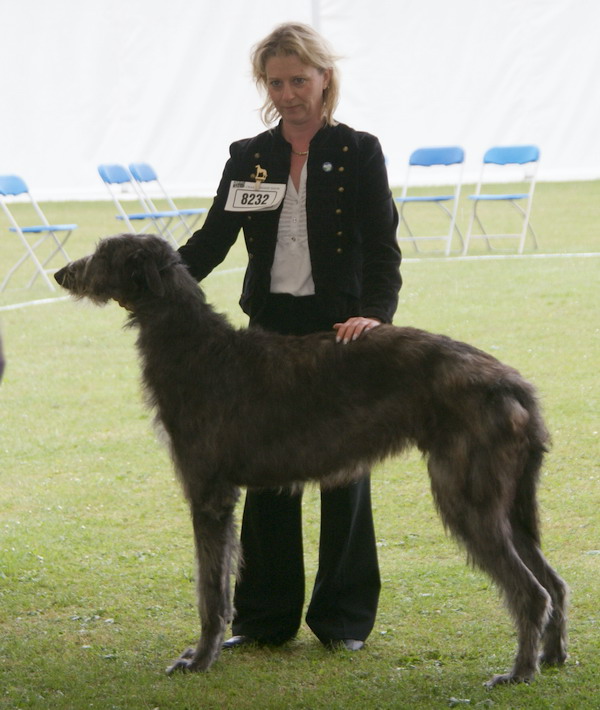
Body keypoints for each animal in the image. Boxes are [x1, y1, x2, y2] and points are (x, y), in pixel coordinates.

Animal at [55, 235, 568, 688]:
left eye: (103, 254)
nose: (61, 273)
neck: (196, 346)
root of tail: (513, 382)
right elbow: (222, 582)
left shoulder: (209, 494)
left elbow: (210, 591)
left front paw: (200, 659)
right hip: (508, 500)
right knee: (554, 582)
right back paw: (553, 657)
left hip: (466, 492)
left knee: (531, 591)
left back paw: (520, 672)